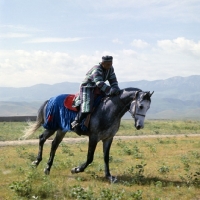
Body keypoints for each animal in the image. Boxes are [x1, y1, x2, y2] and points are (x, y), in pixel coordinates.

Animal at [22, 87, 153, 183]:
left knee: (54, 144)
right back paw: (36, 162)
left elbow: (106, 157)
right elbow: (90, 157)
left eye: (148, 107)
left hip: (61, 130)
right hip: (52, 127)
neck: (108, 109)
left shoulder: (108, 138)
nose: (139, 126)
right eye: (141, 106)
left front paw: (109, 176)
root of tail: (50, 100)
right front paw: (76, 169)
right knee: (42, 139)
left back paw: (47, 168)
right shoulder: (94, 137)